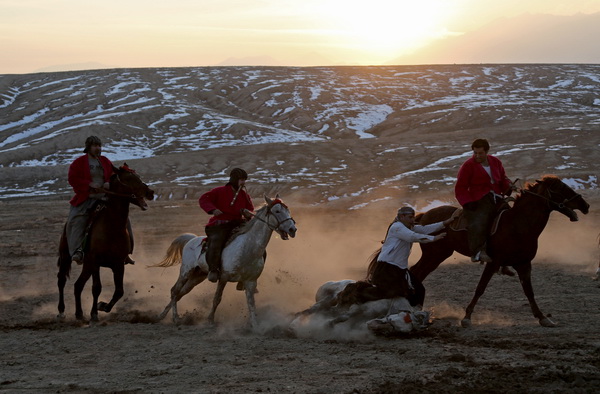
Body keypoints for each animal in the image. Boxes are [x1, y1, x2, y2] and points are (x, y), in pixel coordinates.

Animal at [57, 165, 154, 322]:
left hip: (87, 266)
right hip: (67, 257)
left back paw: (79, 314)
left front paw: (102, 306)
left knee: (78, 285)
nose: (150, 192)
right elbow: (96, 288)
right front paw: (94, 314)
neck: (112, 226)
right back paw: (61, 311)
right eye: (129, 178)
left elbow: (119, 291)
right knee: (61, 280)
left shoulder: (118, 264)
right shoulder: (95, 261)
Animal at [154, 195, 296, 330]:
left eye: (288, 210)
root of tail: (192, 239)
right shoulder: (224, 277)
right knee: (174, 291)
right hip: (186, 271)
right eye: (277, 211)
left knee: (180, 293)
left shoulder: (250, 282)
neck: (247, 248)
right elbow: (217, 298)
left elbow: (251, 303)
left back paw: (161, 316)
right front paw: (210, 320)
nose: (292, 229)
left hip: (197, 277)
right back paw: (175, 318)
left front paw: (255, 325)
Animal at [410, 175, 588, 326]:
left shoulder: (524, 264)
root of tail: (423, 215)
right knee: (417, 271)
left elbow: (529, 292)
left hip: (438, 255)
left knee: (418, 272)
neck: (518, 225)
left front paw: (542, 318)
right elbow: (480, 288)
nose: (585, 205)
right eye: (562, 189)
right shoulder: (493, 262)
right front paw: (467, 317)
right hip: (433, 254)